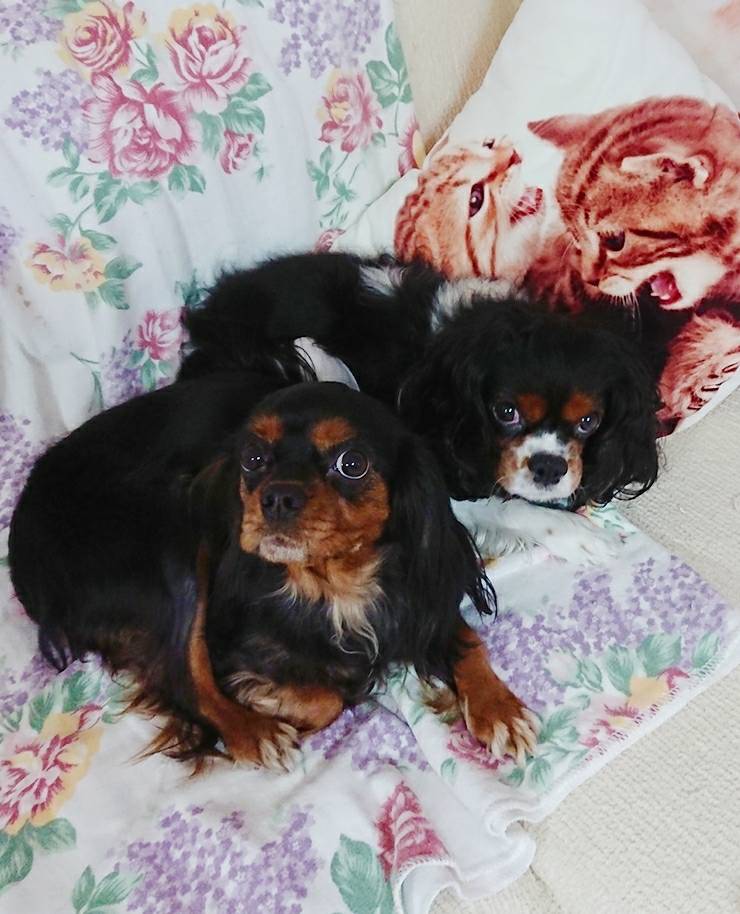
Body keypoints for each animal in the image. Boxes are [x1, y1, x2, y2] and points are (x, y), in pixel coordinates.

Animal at [9, 372, 538, 768]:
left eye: (352, 463)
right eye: (253, 458)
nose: (277, 497)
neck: (336, 580)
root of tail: (19, 552)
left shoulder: (426, 588)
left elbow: (467, 641)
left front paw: (500, 710)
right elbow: (325, 699)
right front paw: (265, 698)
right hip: (176, 538)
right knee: (185, 674)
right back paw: (255, 733)